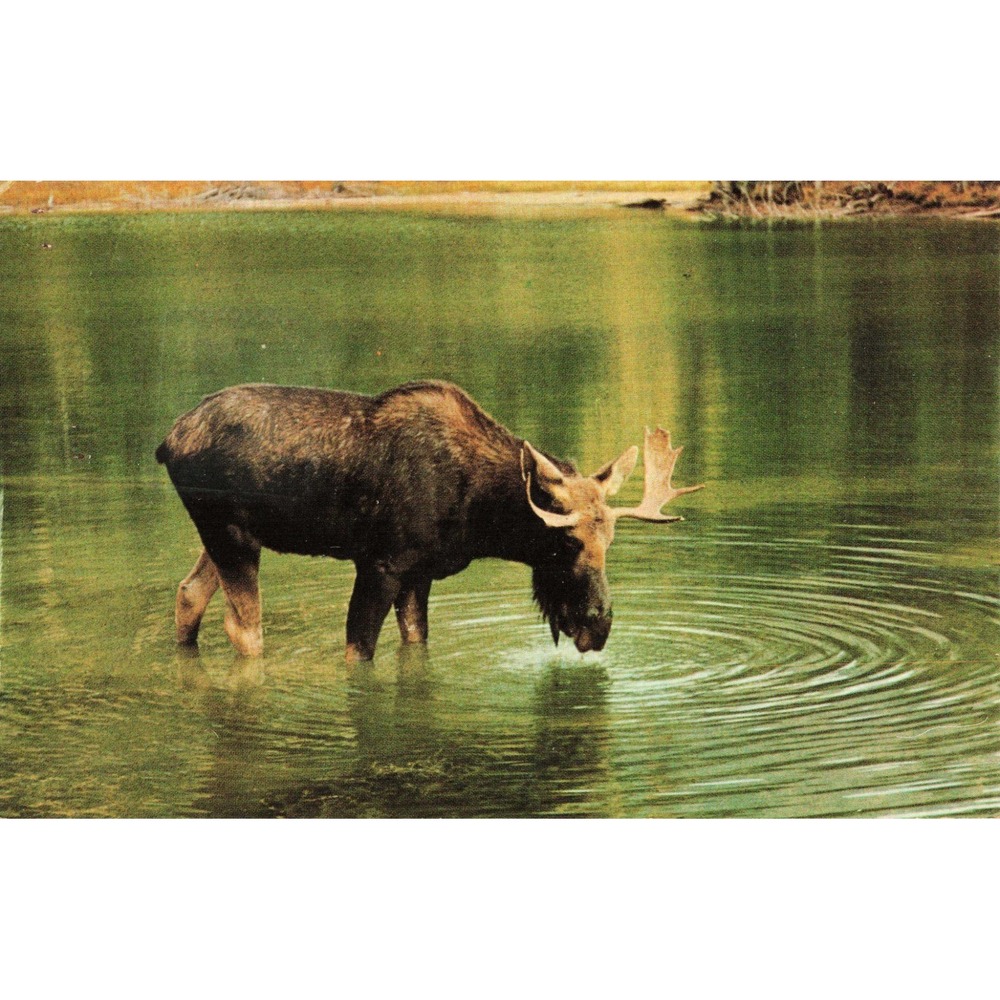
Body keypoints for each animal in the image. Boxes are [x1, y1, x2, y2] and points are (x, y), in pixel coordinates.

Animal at [156, 380, 704, 661]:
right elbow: (359, 650)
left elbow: (415, 643)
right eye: (567, 544)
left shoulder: (420, 573)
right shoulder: (380, 563)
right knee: (243, 626)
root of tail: (167, 442)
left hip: (226, 534)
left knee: (188, 593)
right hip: (230, 533)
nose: (599, 626)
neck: (480, 517)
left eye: (610, 540)